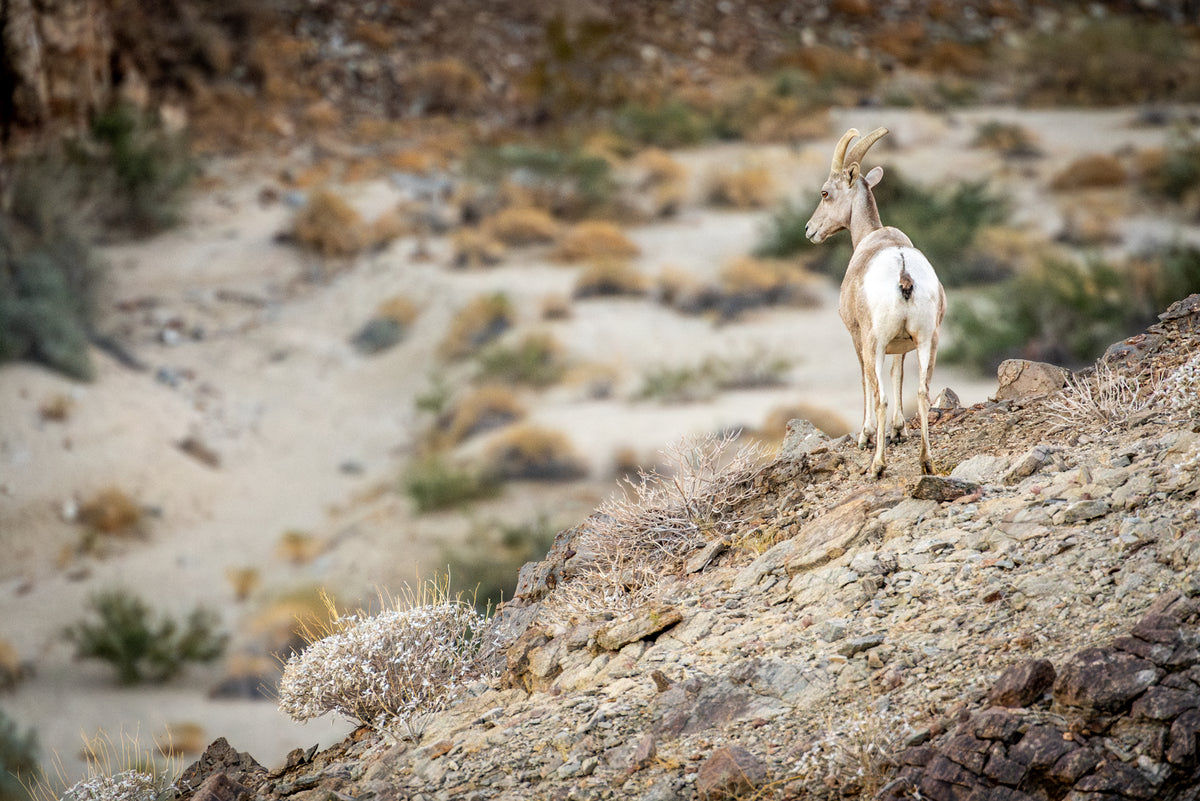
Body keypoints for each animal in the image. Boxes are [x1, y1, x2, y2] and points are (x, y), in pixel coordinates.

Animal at [804, 127, 946, 478]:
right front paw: (899, 432)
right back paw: (926, 461)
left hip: (876, 343)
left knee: (880, 395)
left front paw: (866, 437)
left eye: (825, 192)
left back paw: (878, 464)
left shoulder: (860, 339)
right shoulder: (903, 346)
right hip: (928, 341)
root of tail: (904, 274)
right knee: (922, 393)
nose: (809, 230)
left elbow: (867, 382)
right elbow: (898, 377)